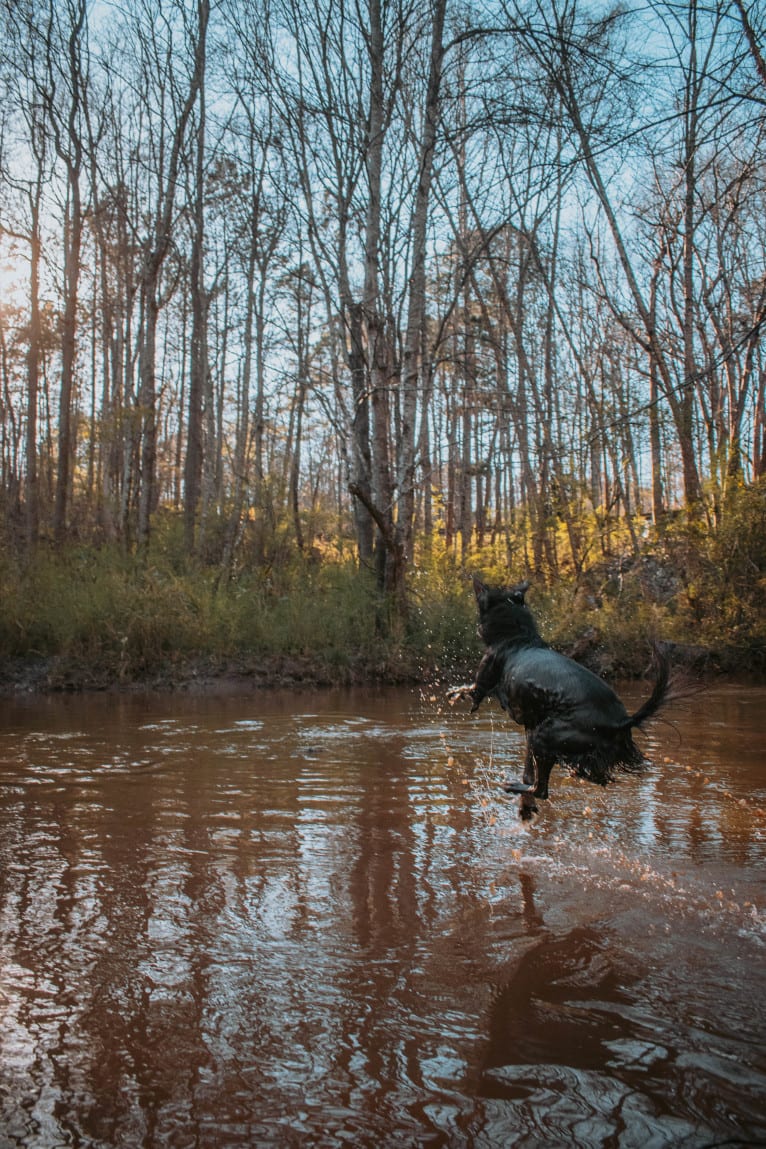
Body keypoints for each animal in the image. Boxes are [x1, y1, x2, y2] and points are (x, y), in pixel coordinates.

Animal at [450, 583, 670, 818]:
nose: (476, 581)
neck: (518, 636)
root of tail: (621, 721)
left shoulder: (483, 683)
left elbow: (470, 690)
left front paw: (454, 694)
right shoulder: (530, 726)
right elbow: (528, 767)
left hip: (546, 737)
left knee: (541, 790)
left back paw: (515, 787)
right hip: (550, 739)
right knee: (579, 777)